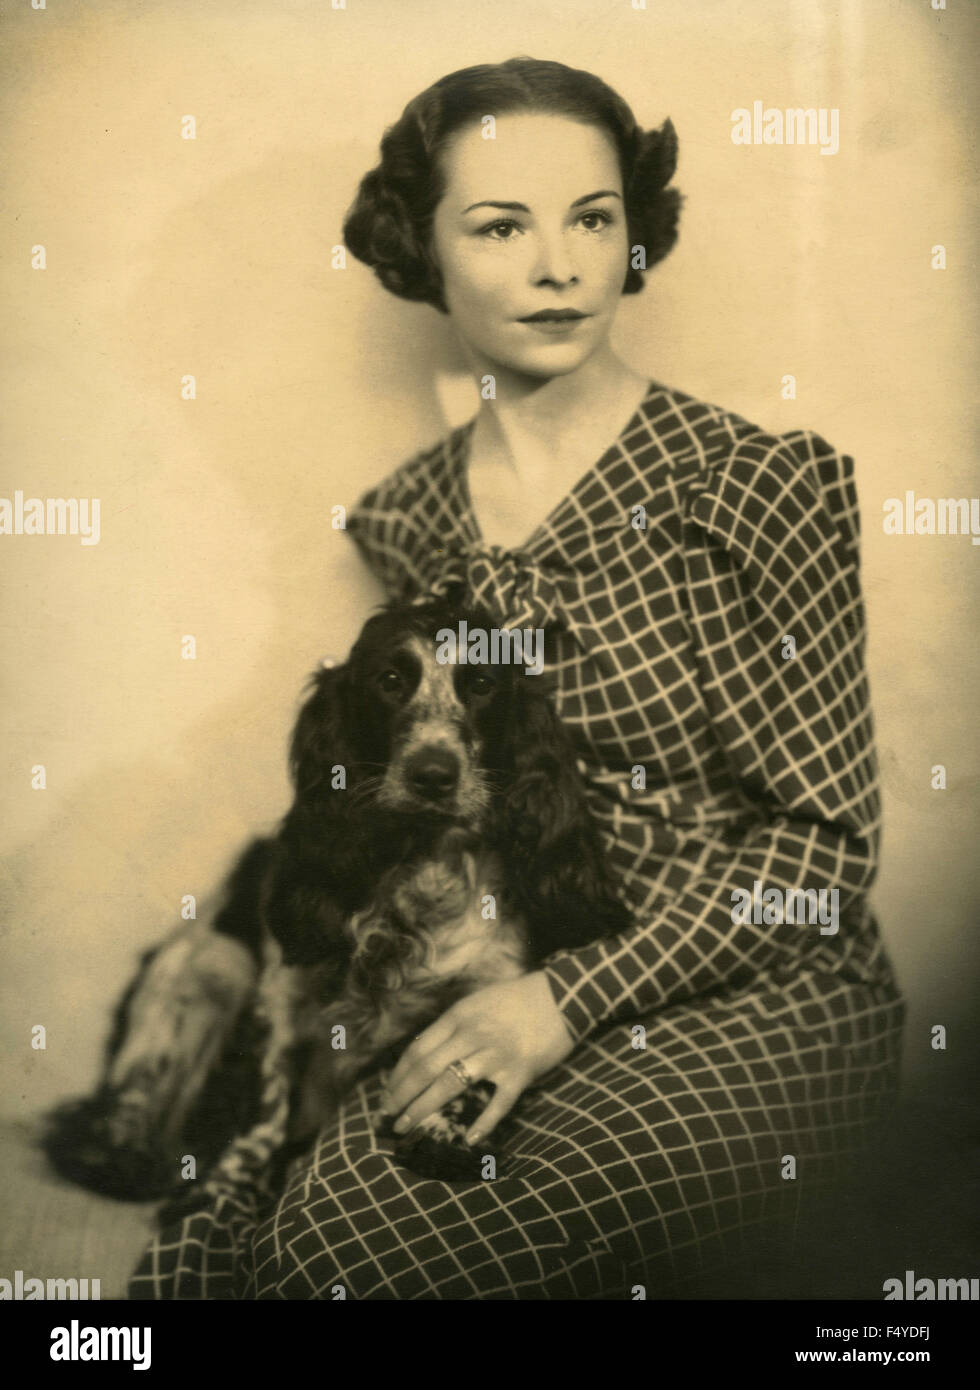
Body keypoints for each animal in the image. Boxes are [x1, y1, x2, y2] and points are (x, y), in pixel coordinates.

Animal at [42, 603, 631, 1212]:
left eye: (483, 684)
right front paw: (231, 1187)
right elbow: (267, 1106)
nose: (433, 775)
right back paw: (120, 1151)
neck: (425, 863)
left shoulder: (488, 985)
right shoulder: (282, 996)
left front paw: (443, 1138)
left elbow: (462, 1067)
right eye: (389, 681)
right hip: (214, 962)